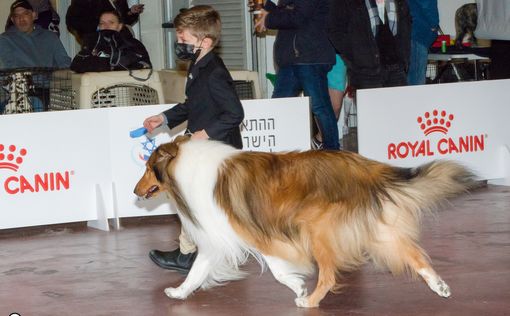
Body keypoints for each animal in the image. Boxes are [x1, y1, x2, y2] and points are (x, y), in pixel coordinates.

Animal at [133, 136, 476, 308]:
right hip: (377, 230)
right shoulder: (217, 237)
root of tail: (365, 167)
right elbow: (197, 271)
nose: (134, 192)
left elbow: (275, 268)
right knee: (415, 255)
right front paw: (179, 294)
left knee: (329, 275)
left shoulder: (250, 233)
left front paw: (297, 286)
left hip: (318, 231)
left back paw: (310, 301)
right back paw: (439, 286)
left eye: (149, 168)